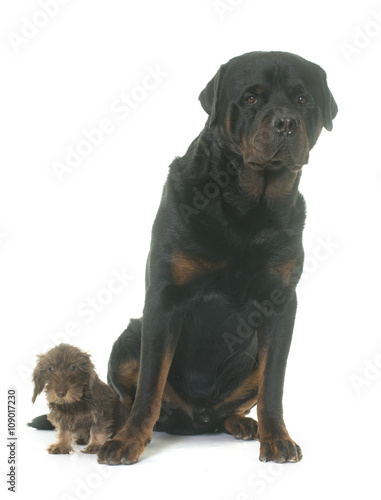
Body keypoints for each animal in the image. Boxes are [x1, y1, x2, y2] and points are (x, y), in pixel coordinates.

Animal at [94, 50, 336, 464]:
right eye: (251, 98)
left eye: (303, 100)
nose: (285, 122)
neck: (248, 206)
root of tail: (196, 421)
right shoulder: (164, 298)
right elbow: (149, 385)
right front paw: (128, 440)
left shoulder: (281, 304)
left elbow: (273, 385)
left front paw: (277, 437)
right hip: (129, 338)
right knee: (132, 395)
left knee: (236, 403)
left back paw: (242, 424)